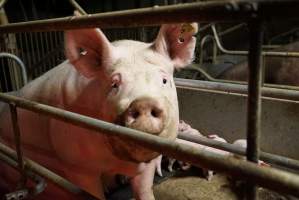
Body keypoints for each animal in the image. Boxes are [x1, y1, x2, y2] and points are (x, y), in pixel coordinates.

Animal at [0, 22, 199, 200]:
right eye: (114, 84)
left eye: (164, 80)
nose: (143, 103)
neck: (116, 162)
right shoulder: (76, 166)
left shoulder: (146, 165)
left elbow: (144, 190)